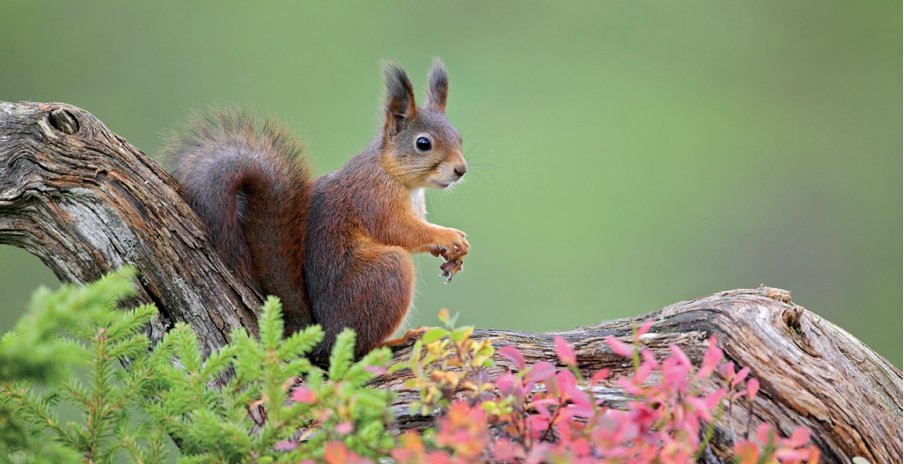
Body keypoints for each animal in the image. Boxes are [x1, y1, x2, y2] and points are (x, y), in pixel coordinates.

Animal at [165, 60, 469, 361]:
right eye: (423, 143)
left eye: (459, 138)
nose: (461, 170)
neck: (394, 175)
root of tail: (323, 334)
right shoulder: (374, 199)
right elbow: (401, 230)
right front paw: (449, 237)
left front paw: (452, 256)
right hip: (387, 273)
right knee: (358, 347)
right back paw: (396, 339)